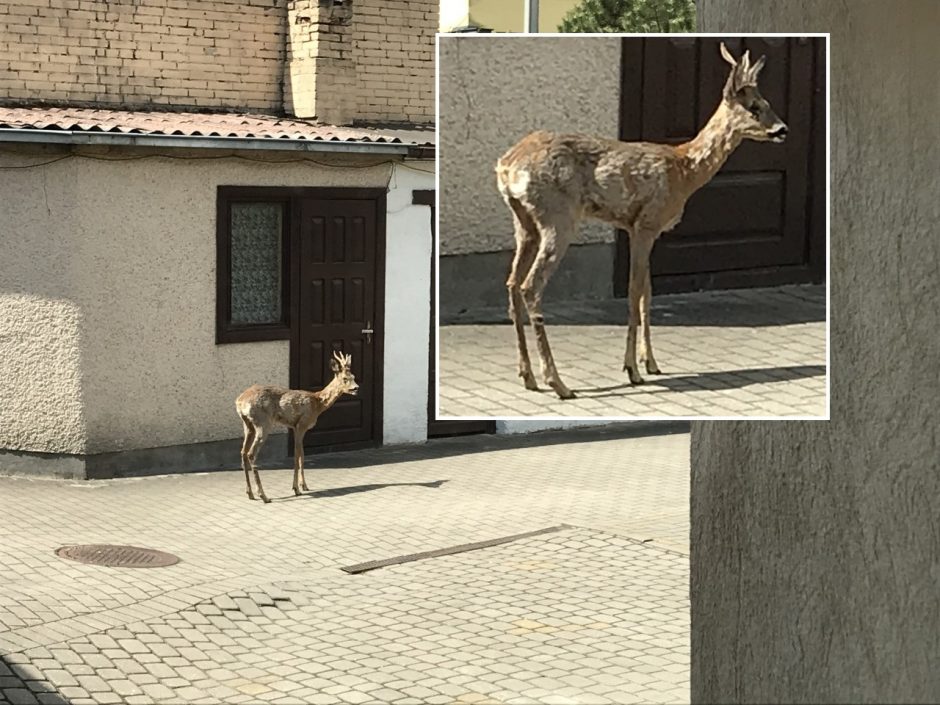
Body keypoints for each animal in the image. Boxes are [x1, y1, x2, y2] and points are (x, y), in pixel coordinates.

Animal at [235, 350, 360, 498]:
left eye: (353, 376)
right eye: (345, 379)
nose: (356, 388)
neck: (317, 403)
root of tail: (240, 402)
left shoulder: (294, 426)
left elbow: (302, 455)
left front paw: (304, 485)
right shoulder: (302, 424)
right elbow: (297, 455)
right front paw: (296, 488)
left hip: (248, 424)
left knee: (243, 452)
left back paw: (250, 493)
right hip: (263, 422)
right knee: (251, 453)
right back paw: (263, 496)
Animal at [496, 41, 788, 398]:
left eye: (768, 102)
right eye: (755, 107)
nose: (783, 129)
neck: (684, 170)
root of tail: (507, 167)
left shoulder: (642, 228)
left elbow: (648, 291)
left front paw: (651, 362)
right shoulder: (646, 223)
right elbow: (635, 290)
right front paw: (632, 369)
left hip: (524, 221)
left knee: (512, 283)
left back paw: (528, 375)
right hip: (557, 217)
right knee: (530, 285)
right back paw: (558, 382)